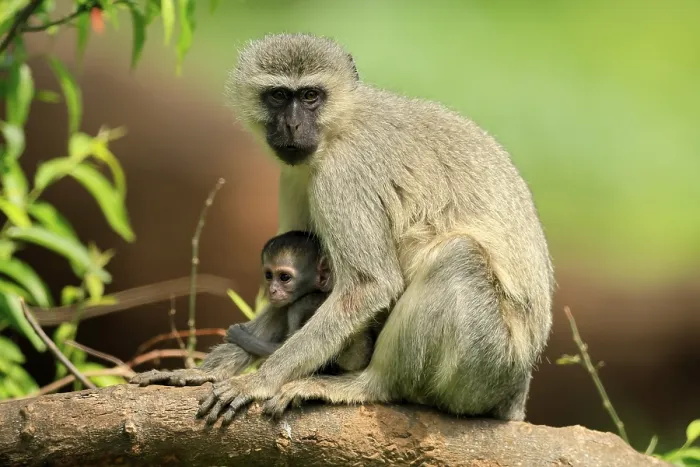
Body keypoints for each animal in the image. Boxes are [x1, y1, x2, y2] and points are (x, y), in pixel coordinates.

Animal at [131, 33, 554, 427]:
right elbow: (294, 289)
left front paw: (258, 382)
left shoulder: (342, 175)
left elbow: (370, 285)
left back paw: (366, 386)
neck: (341, 124)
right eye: (278, 96)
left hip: (485, 366)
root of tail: (515, 394)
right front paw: (201, 373)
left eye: (311, 96)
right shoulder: (295, 176)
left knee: (457, 256)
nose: (292, 124)